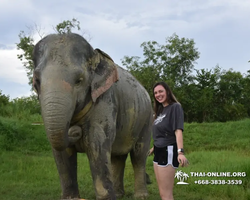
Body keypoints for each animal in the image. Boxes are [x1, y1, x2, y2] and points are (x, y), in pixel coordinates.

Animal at [32, 33, 153, 200]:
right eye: (36, 81)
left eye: (79, 81)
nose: (75, 130)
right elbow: (61, 152)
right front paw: (71, 198)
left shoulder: (105, 99)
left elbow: (96, 144)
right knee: (117, 157)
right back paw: (119, 194)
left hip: (146, 118)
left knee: (139, 155)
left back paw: (141, 196)